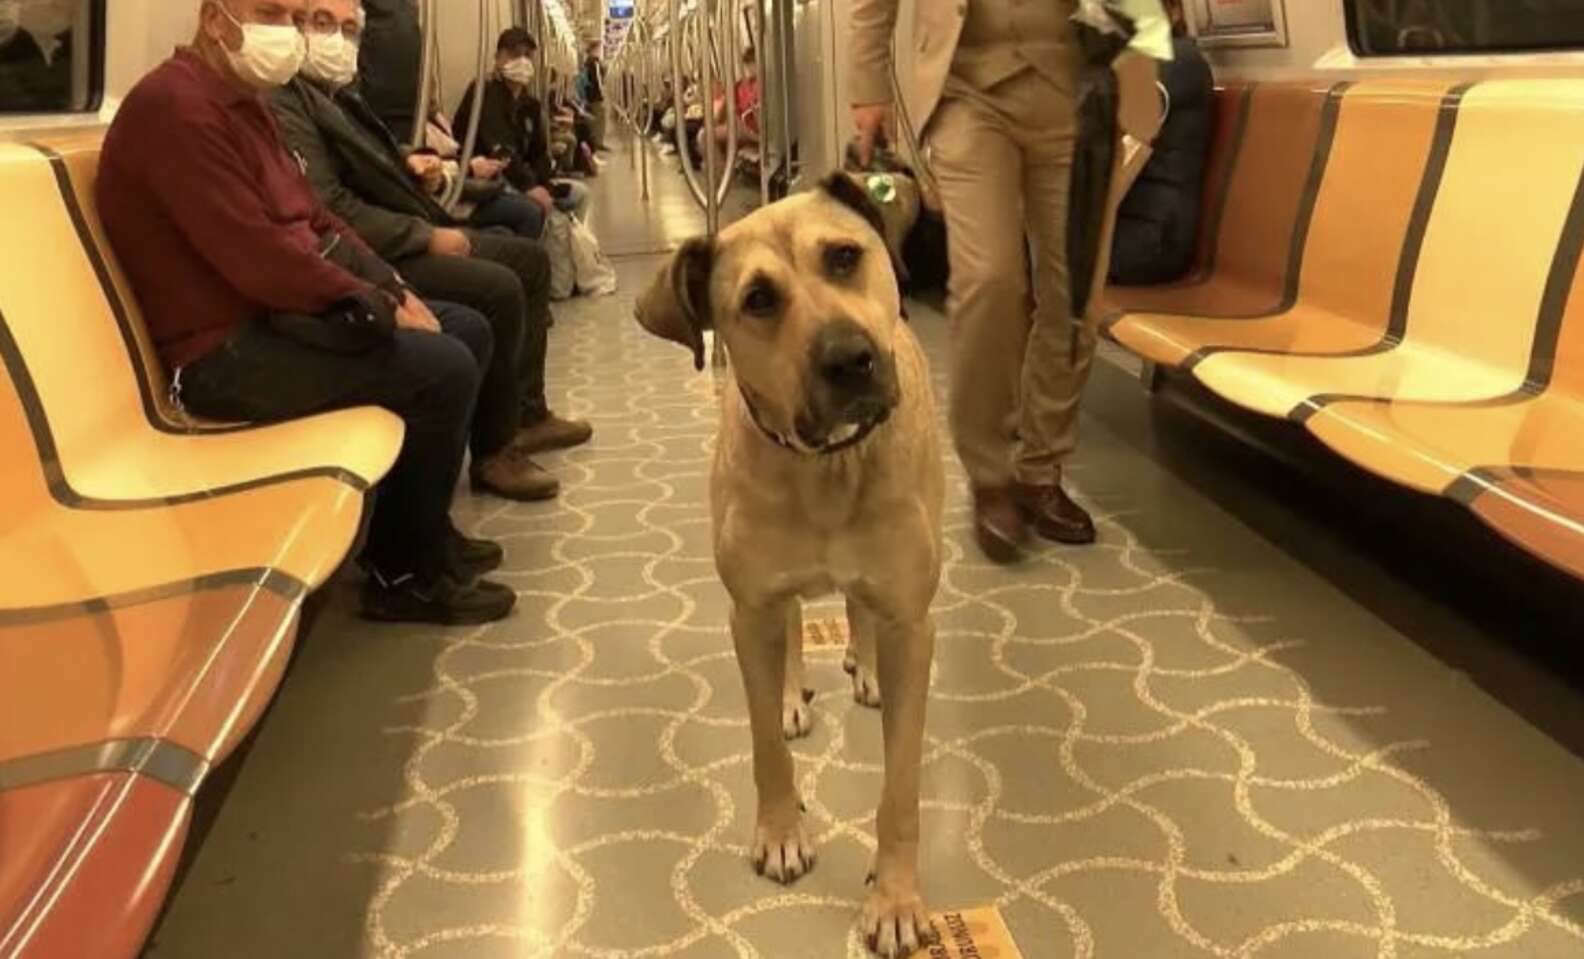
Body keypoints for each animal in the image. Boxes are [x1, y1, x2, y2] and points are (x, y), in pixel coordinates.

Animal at [636, 173, 944, 957]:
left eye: (844, 257)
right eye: (758, 300)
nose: (848, 358)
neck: (828, 465)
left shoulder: (912, 621)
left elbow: (900, 785)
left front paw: (895, 896)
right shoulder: (748, 611)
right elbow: (765, 744)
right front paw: (780, 829)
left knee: (856, 610)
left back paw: (864, 665)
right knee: (797, 621)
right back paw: (790, 688)